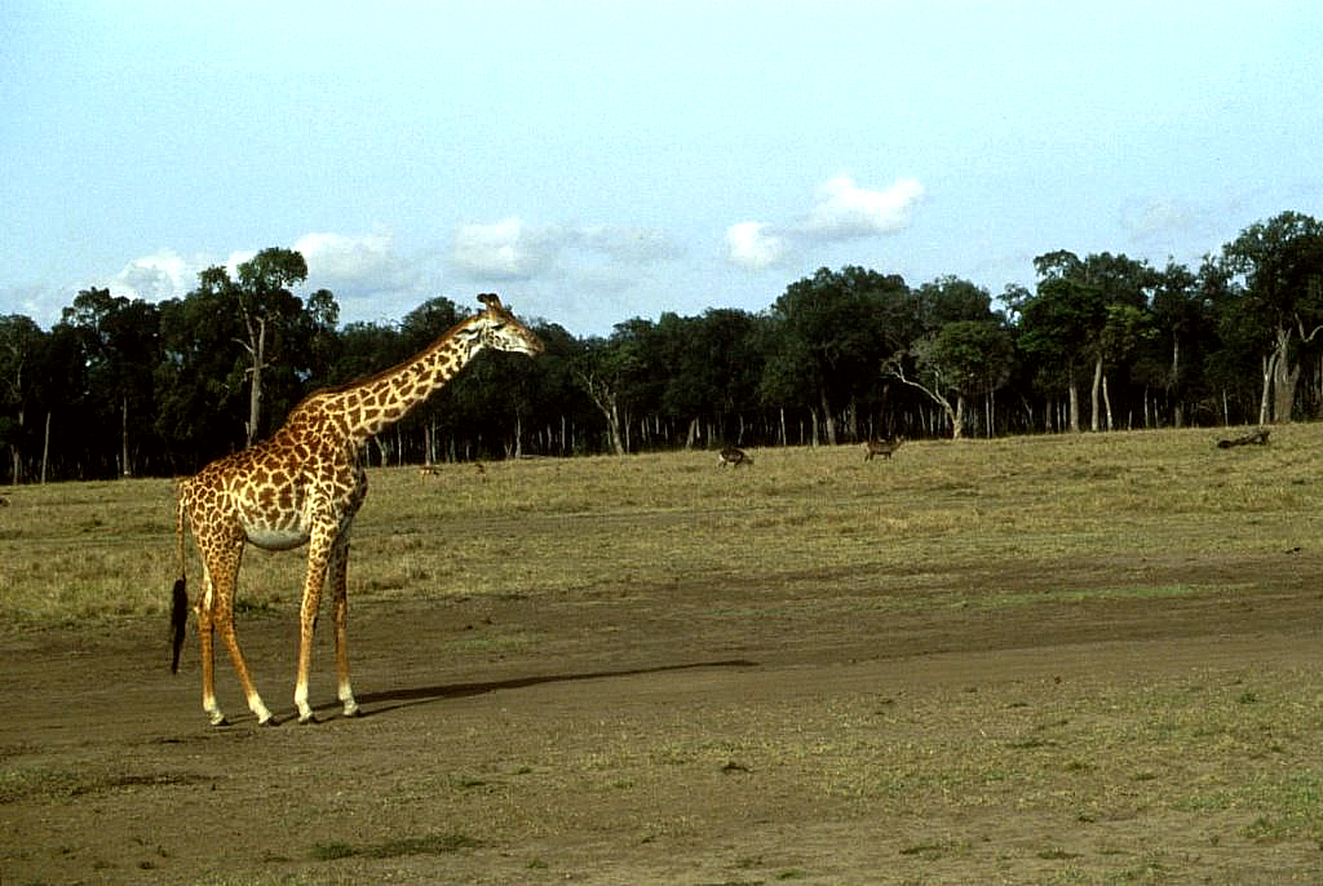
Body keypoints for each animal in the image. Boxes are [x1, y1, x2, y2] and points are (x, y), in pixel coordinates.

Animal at [170, 293, 543, 726]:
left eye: (513, 316)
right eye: (498, 326)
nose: (538, 345)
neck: (357, 431)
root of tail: (185, 492)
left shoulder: (346, 525)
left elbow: (340, 608)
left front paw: (349, 700)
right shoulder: (323, 521)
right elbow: (308, 608)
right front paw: (304, 704)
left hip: (212, 545)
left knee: (202, 609)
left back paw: (215, 709)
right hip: (226, 543)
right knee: (223, 613)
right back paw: (262, 709)